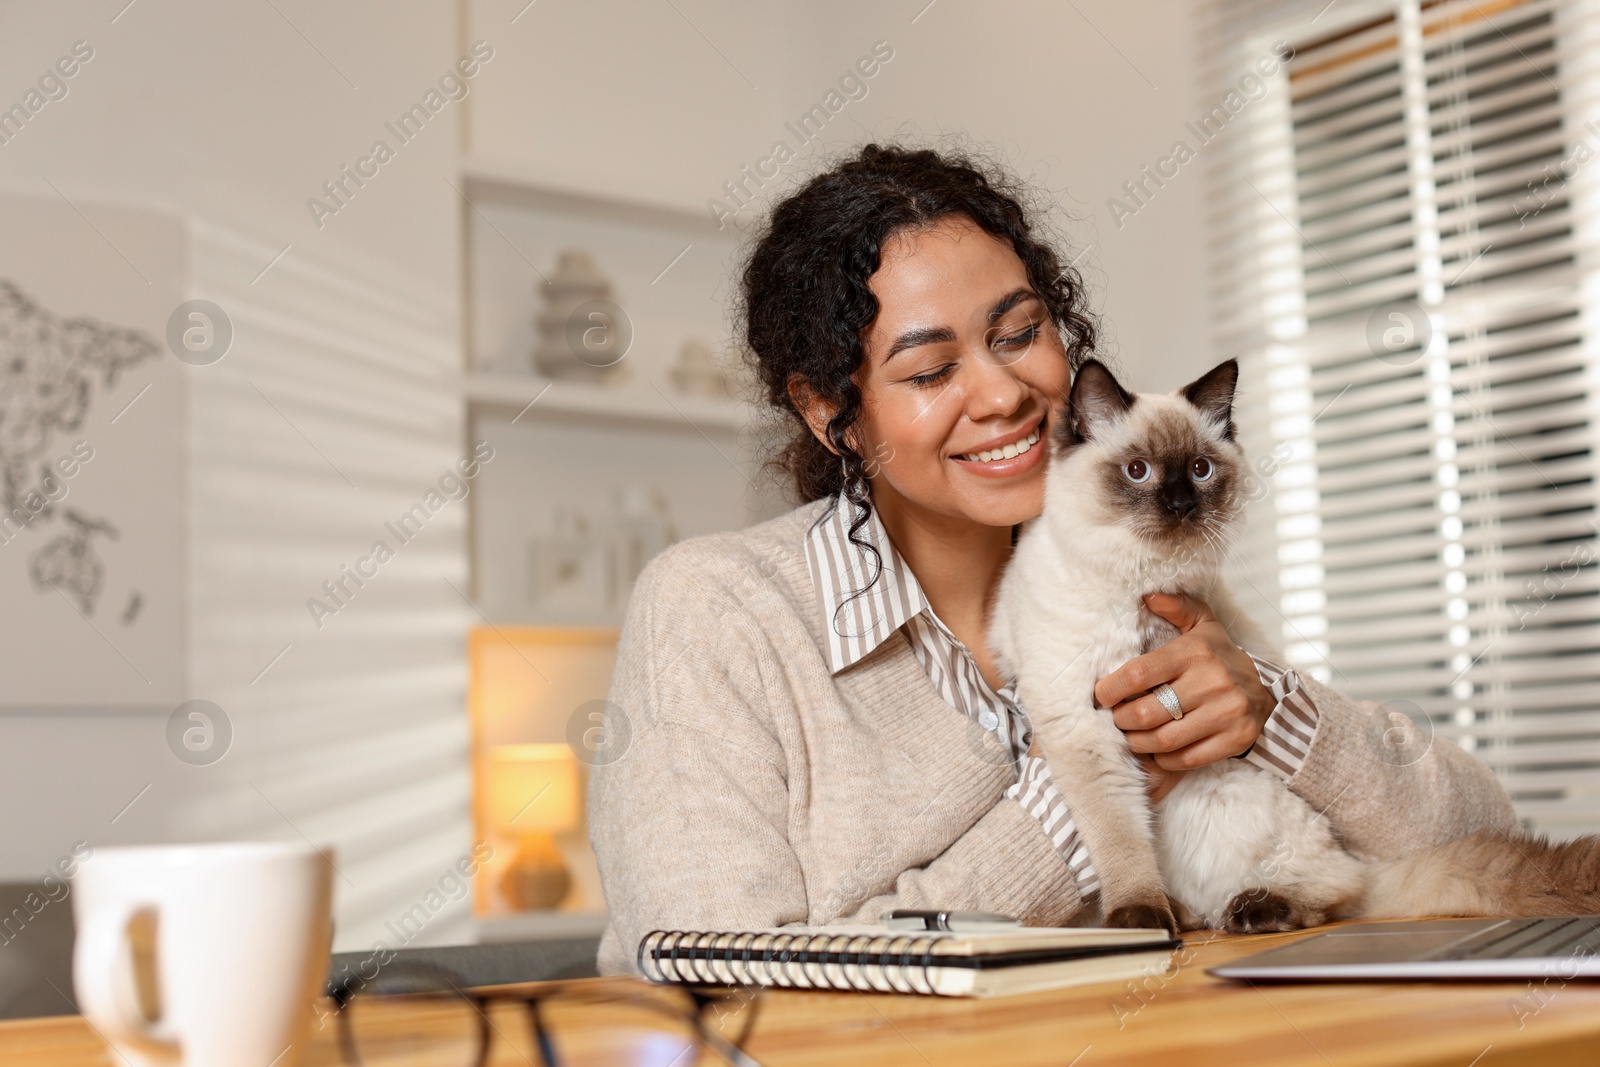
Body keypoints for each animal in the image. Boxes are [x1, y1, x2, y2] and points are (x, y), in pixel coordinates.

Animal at [985, 358, 1600, 934]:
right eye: (1138, 472)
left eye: (1201, 470)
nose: (1182, 505)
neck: (1140, 585)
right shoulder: (1081, 725)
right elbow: (1120, 841)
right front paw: (1141, 920)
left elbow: (1120, 841)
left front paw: (1143, 922)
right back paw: (1180, 915)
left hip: (1246, 793)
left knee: (1338, 891)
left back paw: (1259, 910)